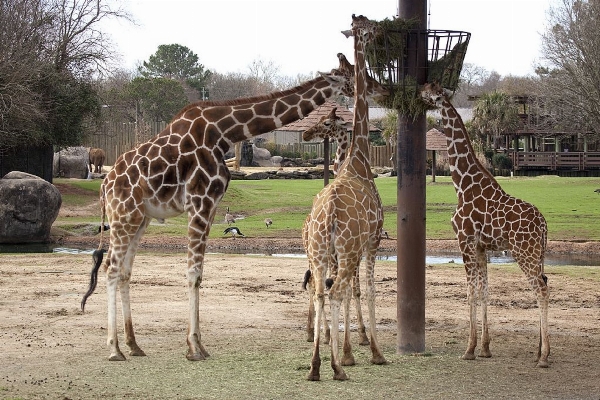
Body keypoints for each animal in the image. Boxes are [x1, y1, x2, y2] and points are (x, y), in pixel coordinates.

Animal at [300, 108, 370, 346]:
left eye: (327, 122)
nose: (306, 133)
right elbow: (353, 289)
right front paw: (361, 335)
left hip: (315, 254)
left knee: (315, 283)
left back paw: (312, 331)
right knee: (319, 284)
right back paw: (325, 333)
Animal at [420, 82, 552, 368]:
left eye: (432, 91)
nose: (419, 90)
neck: (462, 184)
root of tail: (544, 225)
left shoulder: (465, 241)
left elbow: (470, 292)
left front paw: (469, 349)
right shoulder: (481, 247)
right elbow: (484, 292)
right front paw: (485, 348)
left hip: (523, 252)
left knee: (541, 289)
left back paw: (544, 356)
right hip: (538, 253)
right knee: (545, 282)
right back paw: (539, 350)